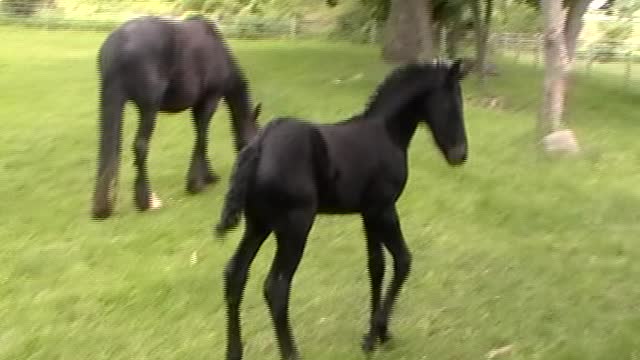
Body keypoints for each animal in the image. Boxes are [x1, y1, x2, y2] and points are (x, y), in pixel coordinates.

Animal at [90, 14, 260, 219]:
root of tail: (118, 43)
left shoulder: (197, 105)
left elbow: (201, 136)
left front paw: (208, 176)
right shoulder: (210, 99)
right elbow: (203, 137)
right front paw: (197, 184)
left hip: (112, 101)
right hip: (148, 108)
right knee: (140, 146)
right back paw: (148, 201)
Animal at [218, 60, 472, 358]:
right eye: (453, 104)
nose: (460, 154)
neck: (386, 132)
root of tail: (259, 145)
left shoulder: (368, 213)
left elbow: (376, 266)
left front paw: (377, 334)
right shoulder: (384, 209)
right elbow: (402, 261)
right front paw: (376, 335)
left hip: (258, 224)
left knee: (235, 274)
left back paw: (234, 352)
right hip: (295, 226)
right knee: (276, 288)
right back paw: (291, 352)